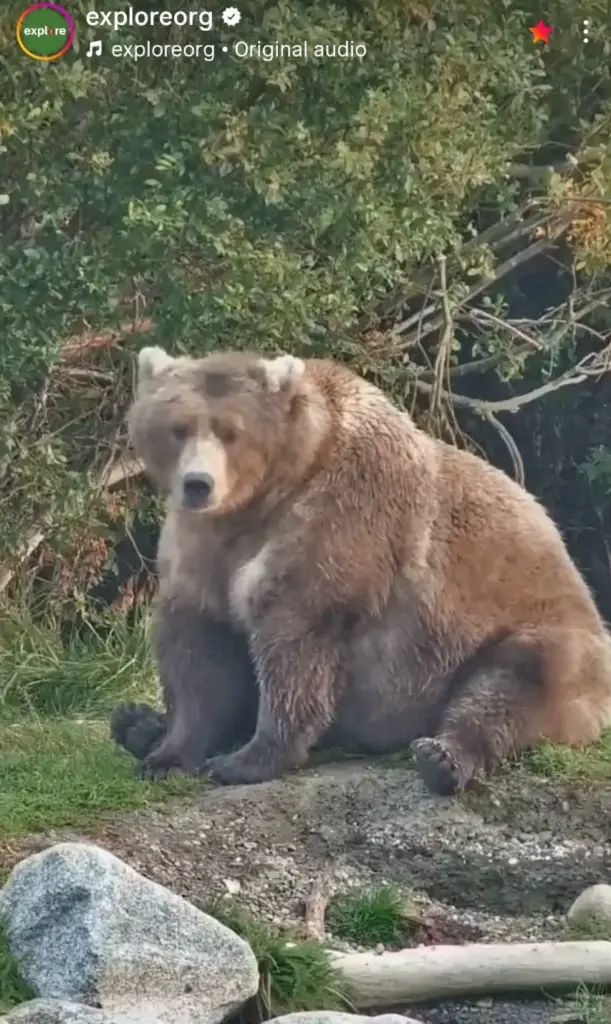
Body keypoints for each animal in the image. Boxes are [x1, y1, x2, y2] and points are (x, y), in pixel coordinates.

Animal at [110, 344, 611, 795]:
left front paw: (245, 760)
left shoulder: (342, 520)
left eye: (231, 432)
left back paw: (442, 757)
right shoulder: (203, 547)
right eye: (178, 428)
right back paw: (135, 724)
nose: (199, 483)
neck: (262, 500)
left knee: (511, 685)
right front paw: (168, 755)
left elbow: (294, 640)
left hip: (542, 634)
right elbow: (200, 647)